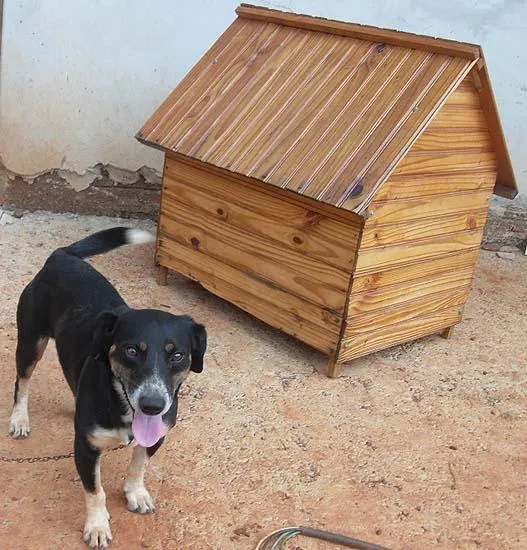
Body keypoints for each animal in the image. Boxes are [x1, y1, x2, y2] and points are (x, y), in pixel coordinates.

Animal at [8, 227, 206, 548]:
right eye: (132, 351)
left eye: (177, 355)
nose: (153, 405)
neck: (123, 407)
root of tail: (61, 256)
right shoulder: (85, 449)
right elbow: (95, 491)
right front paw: (98, 526)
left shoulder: (158, 434)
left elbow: (139, 465)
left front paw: (136, 493)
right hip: (31, 341)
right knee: (22, 381)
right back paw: (19, 419)